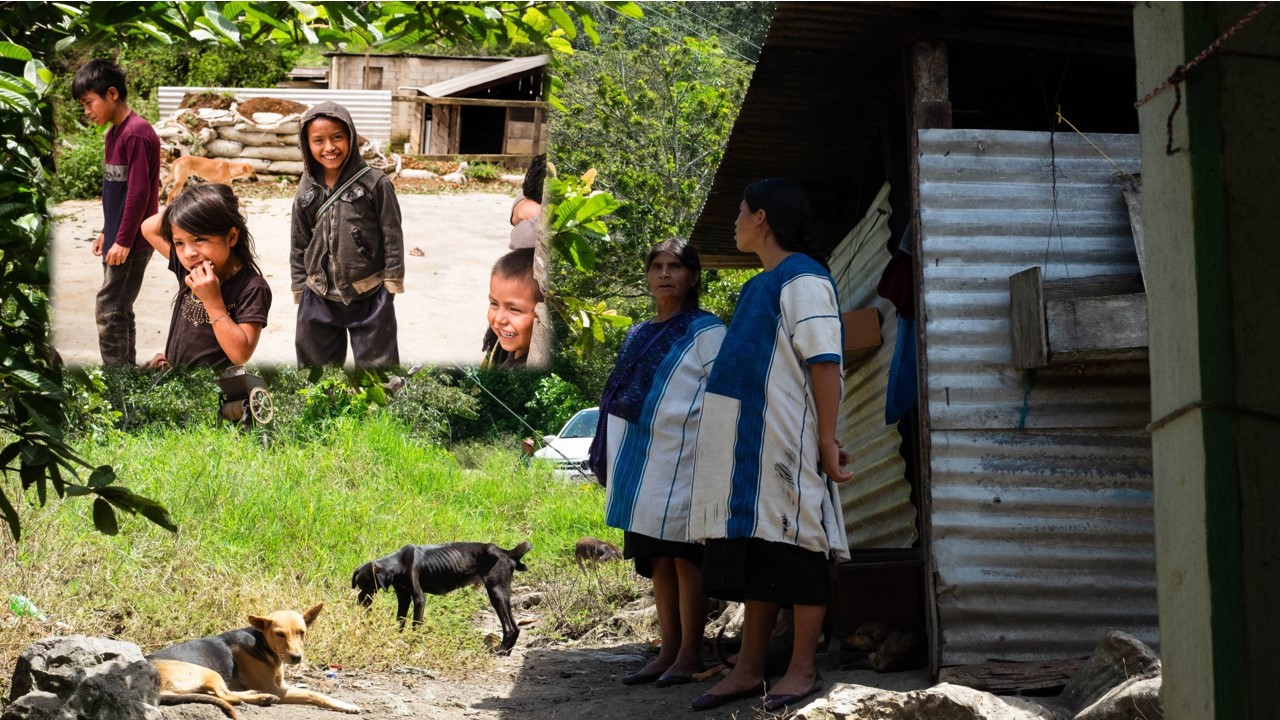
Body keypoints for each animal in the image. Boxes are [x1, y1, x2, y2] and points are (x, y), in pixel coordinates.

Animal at [148, 602, 360, 712]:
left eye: (302, 632)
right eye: (279, 634)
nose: (296, 658)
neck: (263, 644)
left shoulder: (280, 685)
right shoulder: (276, 688)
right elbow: (314, 694)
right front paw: (346, 705)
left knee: (221, 694)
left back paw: (256, 695)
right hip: (208, 672)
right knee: (227, 696)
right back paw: (262, 697)